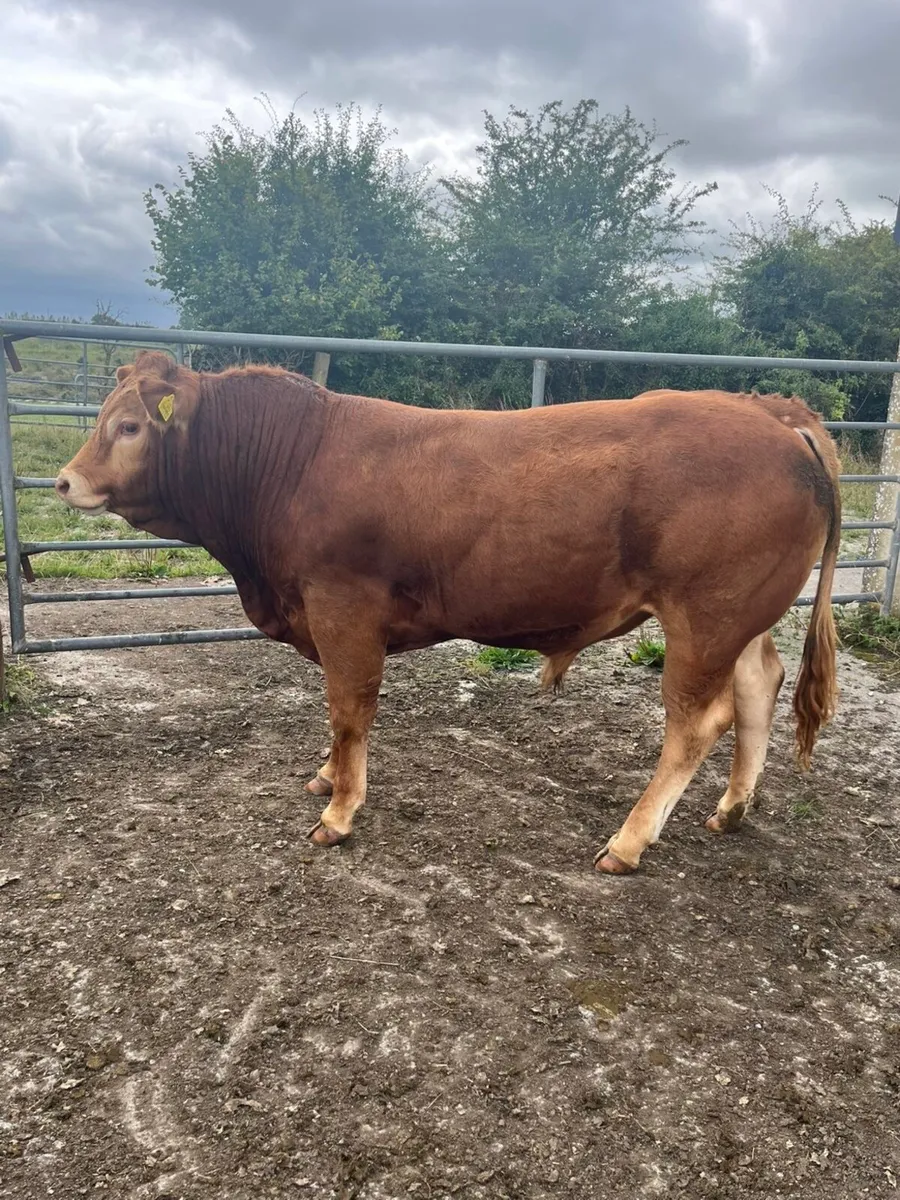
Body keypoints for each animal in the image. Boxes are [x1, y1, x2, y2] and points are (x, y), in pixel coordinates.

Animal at [55, 354, 841, 875]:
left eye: (129, 426)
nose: (65, 482)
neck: (293, 463)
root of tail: (775, 417)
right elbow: (339, 715)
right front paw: (327, 776)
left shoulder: (343, 608)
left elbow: (349, 708)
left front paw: (339, 811)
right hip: (740, 618)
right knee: (758, 685)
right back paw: (731, 809)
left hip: (704, 617)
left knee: (696, 722)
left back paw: (628, 842)